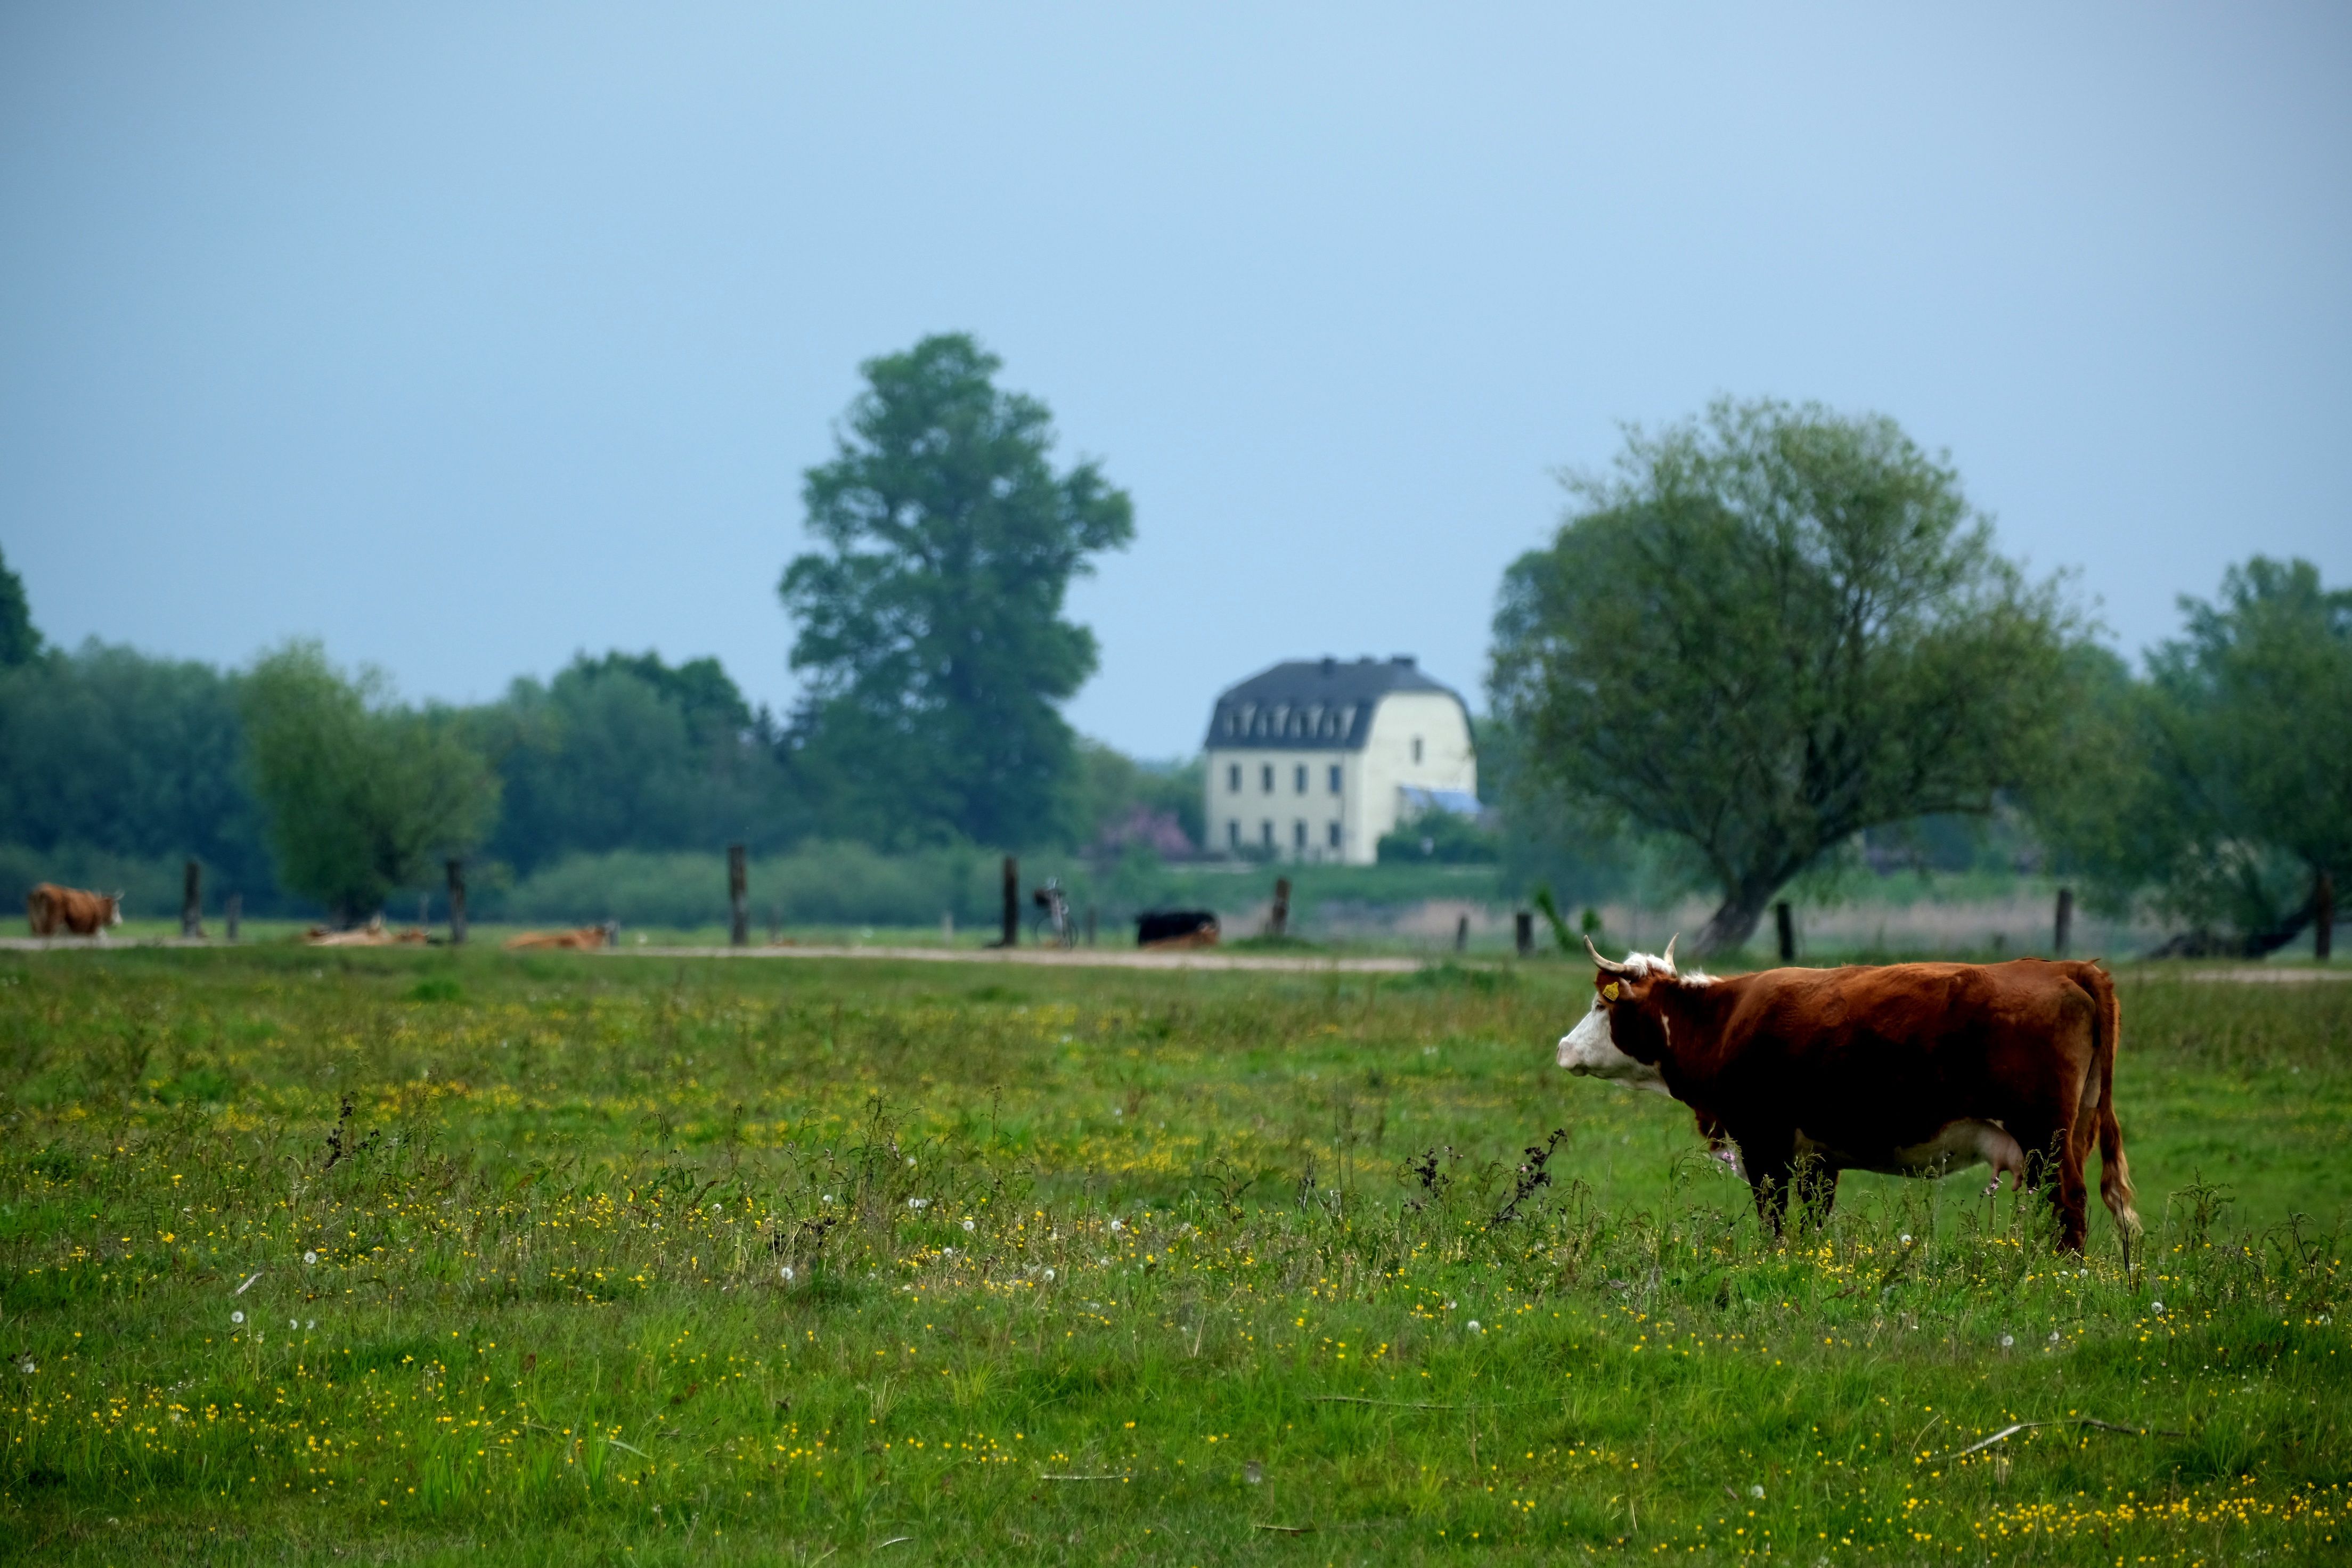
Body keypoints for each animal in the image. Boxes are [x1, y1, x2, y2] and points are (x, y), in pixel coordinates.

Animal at [26, 883, 123, 938]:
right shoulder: (93, 931)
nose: (120, 922)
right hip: (51, 925)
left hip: (35, 925)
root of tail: (41, 890)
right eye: (117, 909)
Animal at [1557, 937, 2136, 1252]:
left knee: (2069, 1205)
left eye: (1600, 1004)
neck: (1724, 1021)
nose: (1564, 1048)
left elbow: (1774, 1220)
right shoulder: (1818, 1158)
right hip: (2073, 1131)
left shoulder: (1763, 1145)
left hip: (2044, 1137)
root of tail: (2065, 968)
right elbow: (1814, 1223)